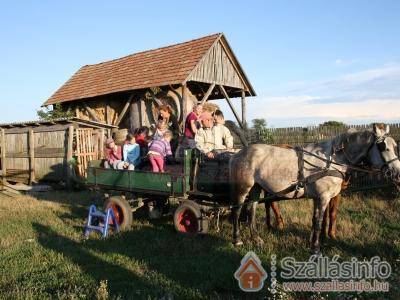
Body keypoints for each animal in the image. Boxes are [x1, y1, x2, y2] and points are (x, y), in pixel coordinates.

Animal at [228, 123, 400, 252]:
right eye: (382, 146)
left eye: (394, 146)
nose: (397, 172)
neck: (333, 159)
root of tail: (239, 153)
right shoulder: (324, 197)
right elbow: (319, 220)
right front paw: (316, 248)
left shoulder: (319, 197)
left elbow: (316, 219)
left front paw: (314, 242)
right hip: (244, 188)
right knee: (237, 210)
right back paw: (237, 240)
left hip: (256, 188)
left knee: (251, 209)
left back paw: (256, 239)